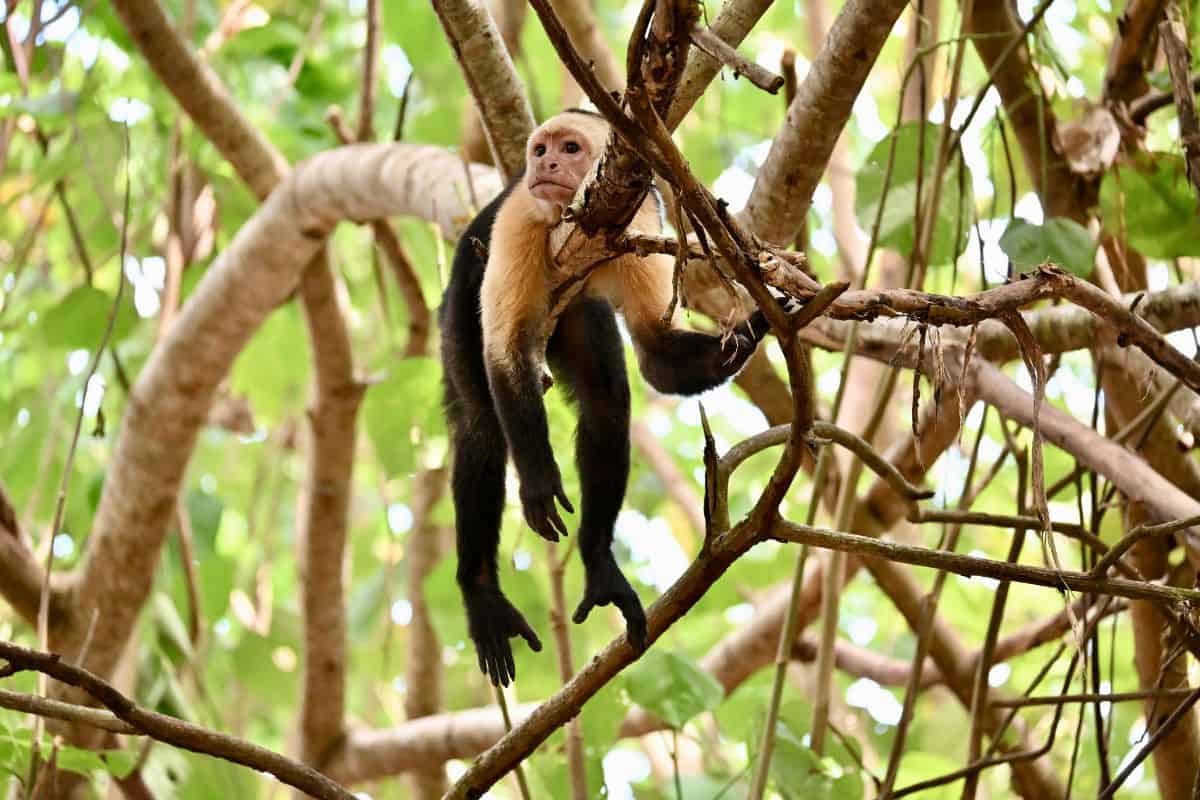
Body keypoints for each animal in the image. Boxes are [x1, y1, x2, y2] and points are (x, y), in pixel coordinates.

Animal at [440, 109, 784, 687]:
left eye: (570, 148)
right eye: (539, 151)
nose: (546, 166)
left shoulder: (643, 221)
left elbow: (657, 357)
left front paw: (765, 320)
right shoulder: (519, 216)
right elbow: (505, 353)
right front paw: (539, 481)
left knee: (606, 401)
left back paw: (599, 565)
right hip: (458, 308)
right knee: (481, 425)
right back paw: (482, 592)